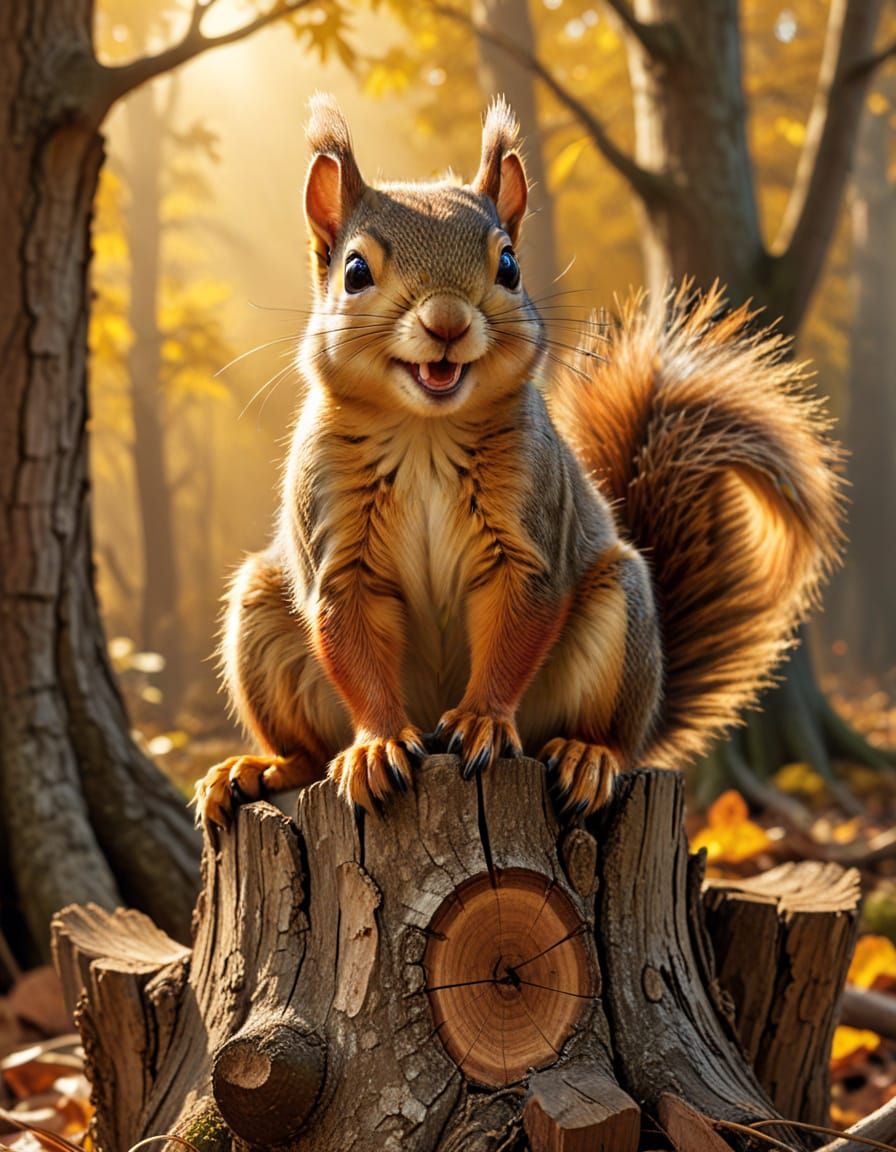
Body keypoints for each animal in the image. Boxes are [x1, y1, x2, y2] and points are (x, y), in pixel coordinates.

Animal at [193, 94, 843, 827]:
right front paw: (379, 743)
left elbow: (514, 631)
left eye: (509, 266)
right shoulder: (334, 534)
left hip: (619, 618)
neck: (425, 431)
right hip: (261, 615)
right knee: (305, 750)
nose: (447, 322)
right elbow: (352, 643)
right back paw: (257, 768)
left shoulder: (530, 524)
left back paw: (588, 757)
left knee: (609, 736)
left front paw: (480, 721)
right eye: (354, 272)